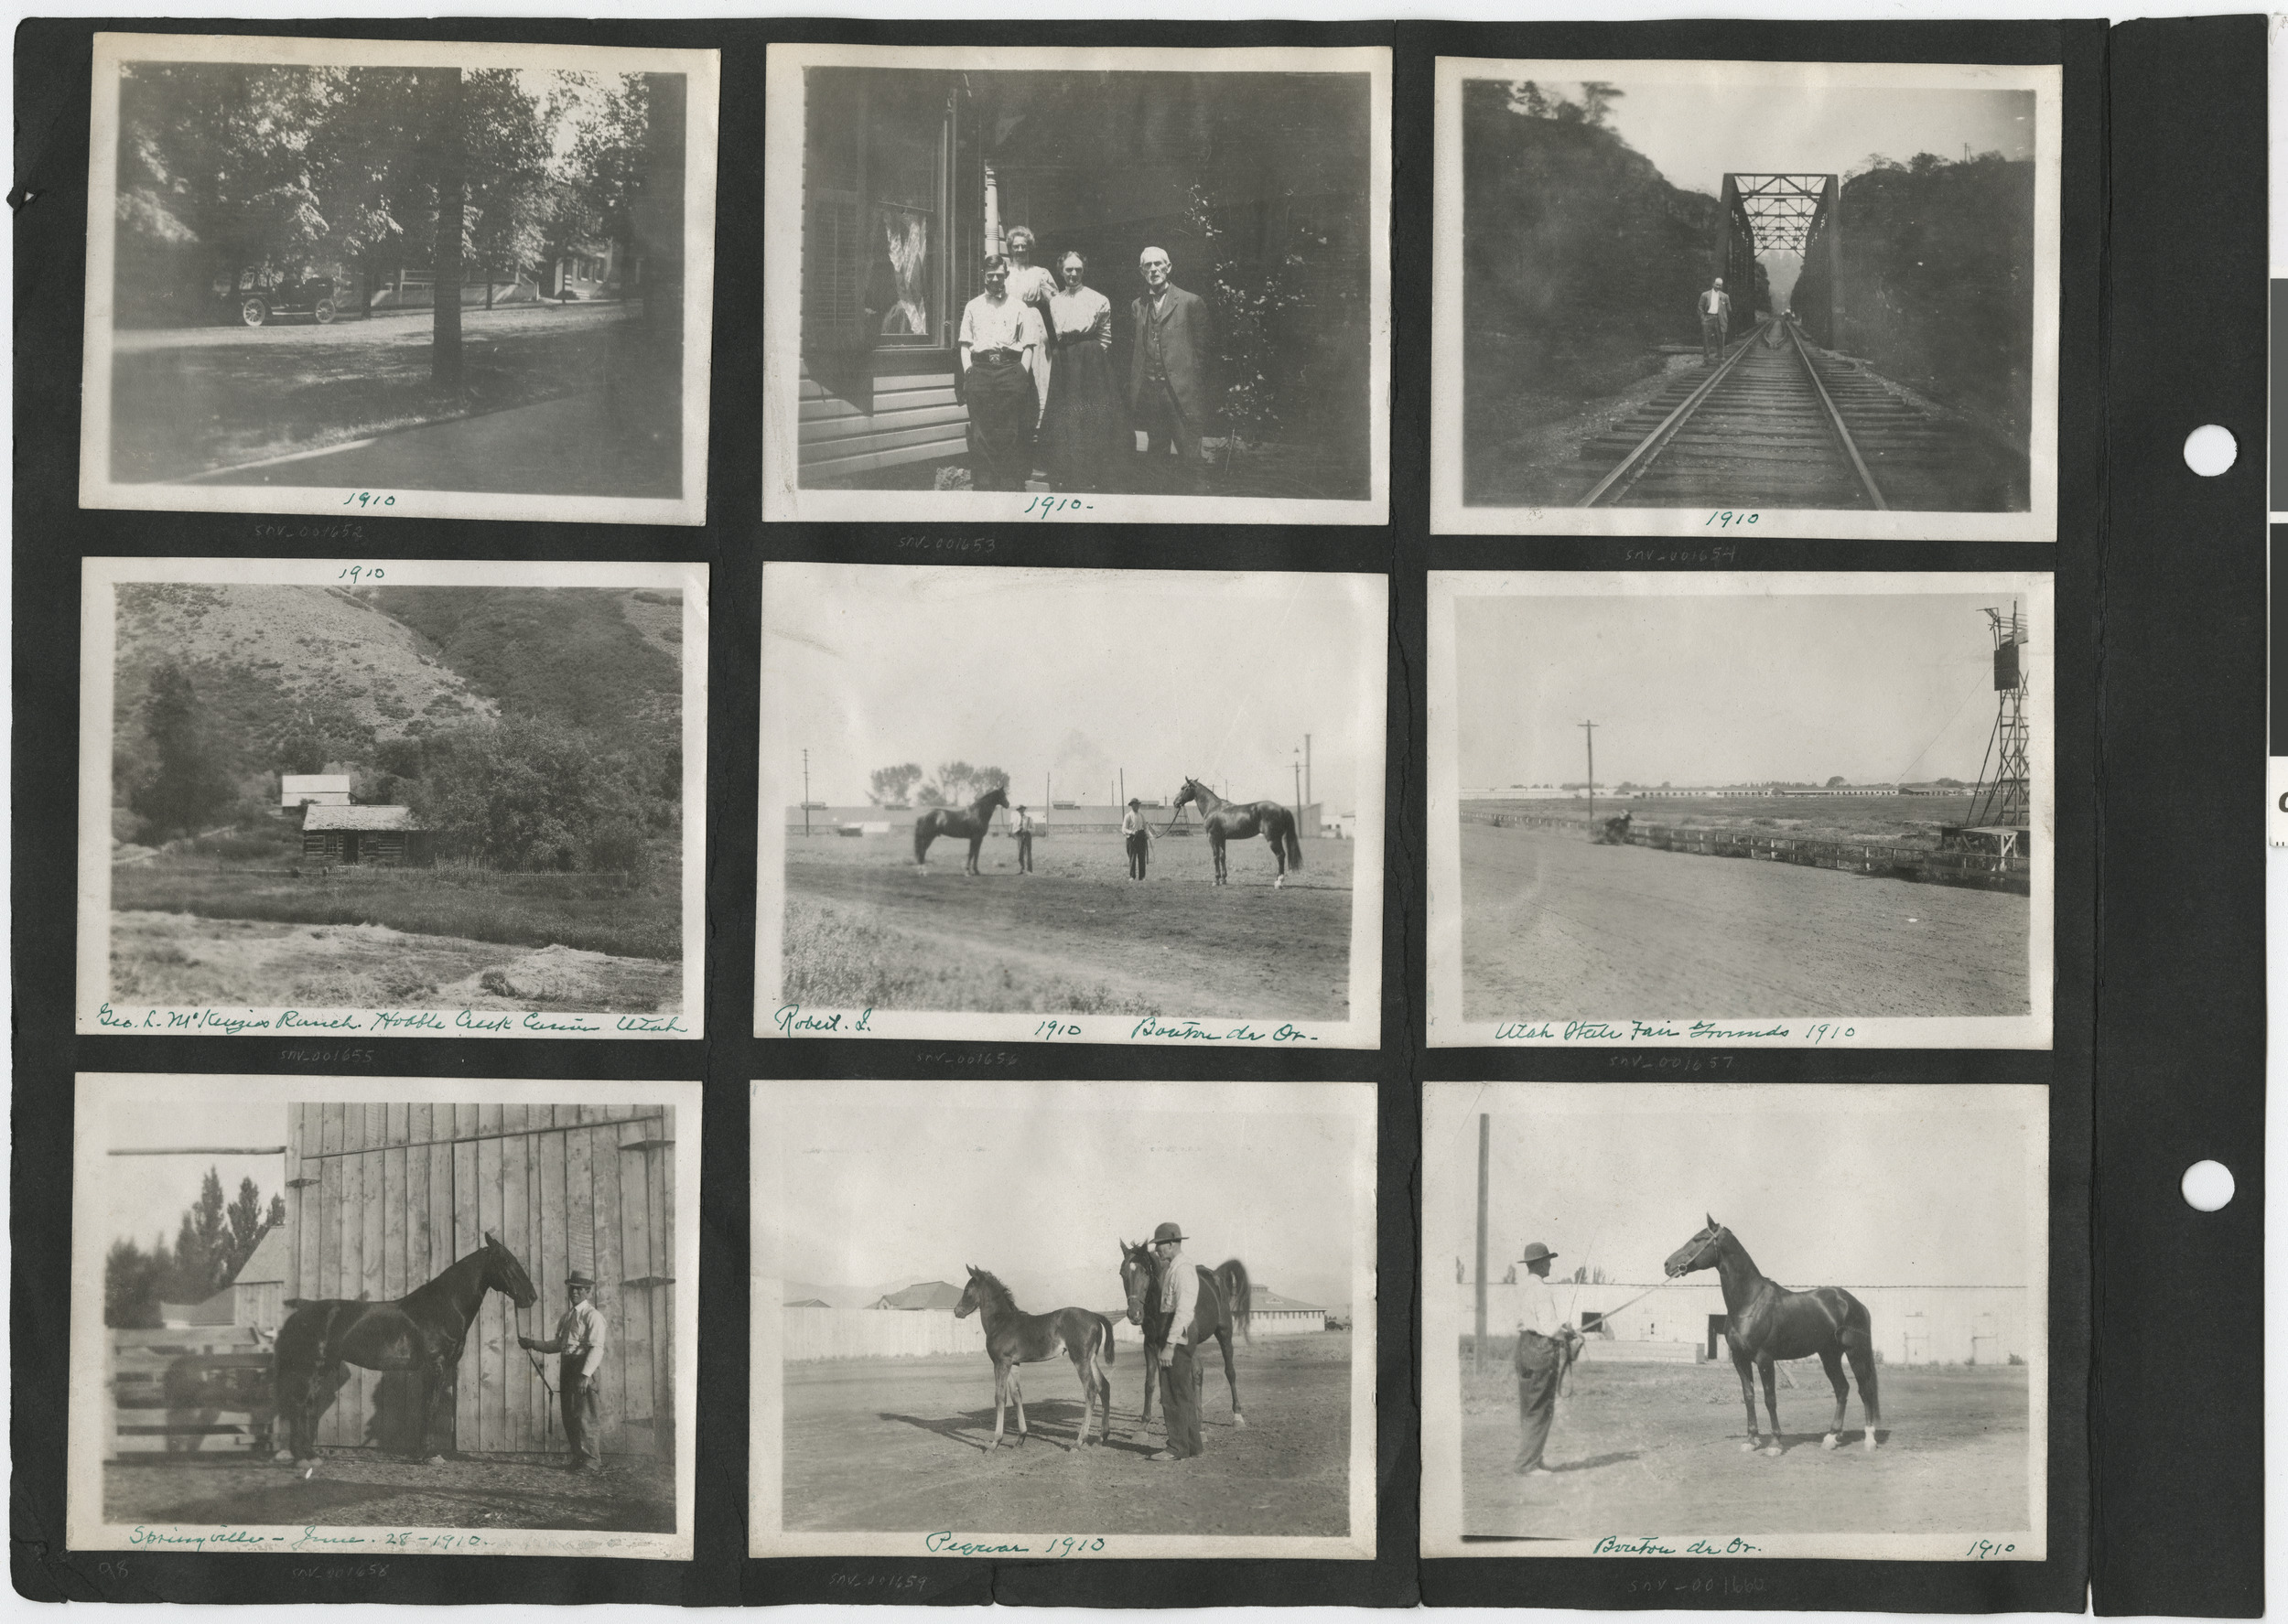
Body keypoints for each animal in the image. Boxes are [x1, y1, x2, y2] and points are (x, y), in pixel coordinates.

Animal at [272, 1235, 535, 1473]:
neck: (441, 1308)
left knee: (307, 1407)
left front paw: (421, 1453)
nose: (531, 1297)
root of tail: (300, 1313)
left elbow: (428, 1407)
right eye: (505, 1260)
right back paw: (302, 1458)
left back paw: (311, 1456)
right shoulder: (435, 1367)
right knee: (299, 1406)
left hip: (321, 1368)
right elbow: (430, 1408)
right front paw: (429, 1456)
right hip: (310, 1367)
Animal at [952, 1263, 1121, 1455]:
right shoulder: (1013, 1363)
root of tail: (1094, 1315)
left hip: (1080, 1359)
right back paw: (1102, 1437)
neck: (1001, 1322)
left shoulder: (1001, 1363)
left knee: (1091, 1390)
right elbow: (1016, 1395)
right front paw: (1021, 1438)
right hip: (1091, 1358)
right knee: (1104, 1387)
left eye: (967, 1290)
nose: (957, 1311)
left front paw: (994, 1443)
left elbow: (1000, 1397)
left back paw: (1079, 1442)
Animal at [1121, 1244, 1263, 1436]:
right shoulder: (1150, 1343)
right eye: (1122, 1273)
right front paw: (1144, 1425)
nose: (1135, 1314)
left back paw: (1236, 1416)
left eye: (1145, 1272)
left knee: (1228, 1372)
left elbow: (1194, 1375)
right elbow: (1150, 1383)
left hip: (1224, 1333)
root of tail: (1215, 1275)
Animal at [1181, 778, 1309, 892]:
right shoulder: (1222, 839)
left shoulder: (1213, 838)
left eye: (1183, 788)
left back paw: (1279, 882)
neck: (1213, 808)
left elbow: (1215, 857)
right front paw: (1223, 879)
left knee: (1280, 855)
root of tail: (1282, 809)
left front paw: (1216, 880)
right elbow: (1222, 857)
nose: (1176, 802)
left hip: (1273, 839)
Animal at [1666, 1217, 1876, 1455]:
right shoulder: (1740, 1359)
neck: (1750, 1302)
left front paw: (1775, 1443)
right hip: (1829, 1355)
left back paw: (1870, 1440)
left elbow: (1770, 1398)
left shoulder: (1765, 1359)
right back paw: (1832, 1437)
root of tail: (1853, 1302)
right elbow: (1749, 1397)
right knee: (1842, 1389)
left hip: (1855, 1353)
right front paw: (1750, 1440)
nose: (1667, 1264)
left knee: (1865, 1390)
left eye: (1698, 1239)